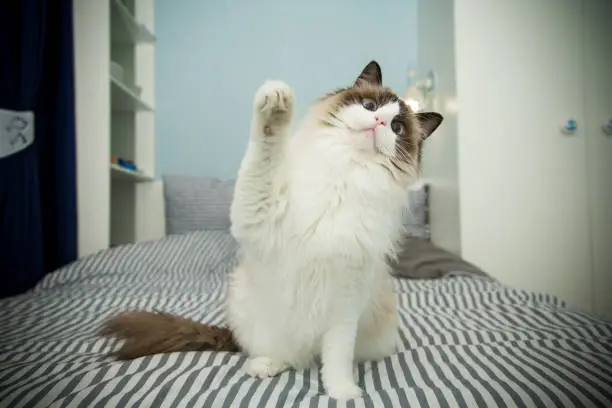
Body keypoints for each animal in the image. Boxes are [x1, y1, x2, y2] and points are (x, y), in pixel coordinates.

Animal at [101, 61, 444, 402]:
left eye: (397, 128)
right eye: (369, 106)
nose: (377, 121)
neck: (344, 175)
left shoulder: (346, 300)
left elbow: (337, 358)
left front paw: (342, 392)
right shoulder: (259, 214)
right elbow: (266, 148)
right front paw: (277, 102)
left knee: (309, 357)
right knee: (283, 354)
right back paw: (262, 366)